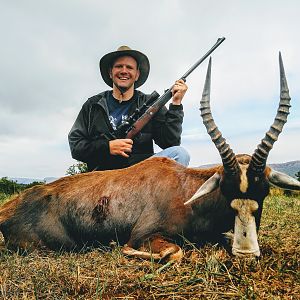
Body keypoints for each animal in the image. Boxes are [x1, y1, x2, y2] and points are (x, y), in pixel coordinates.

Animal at [0, 53, 298, 260]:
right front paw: (121, 248)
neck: (184, 189)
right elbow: (173, 252)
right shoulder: (145, 235)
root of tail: (8, 210)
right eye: (225, 190)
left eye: (264, 192)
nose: (246, 253)